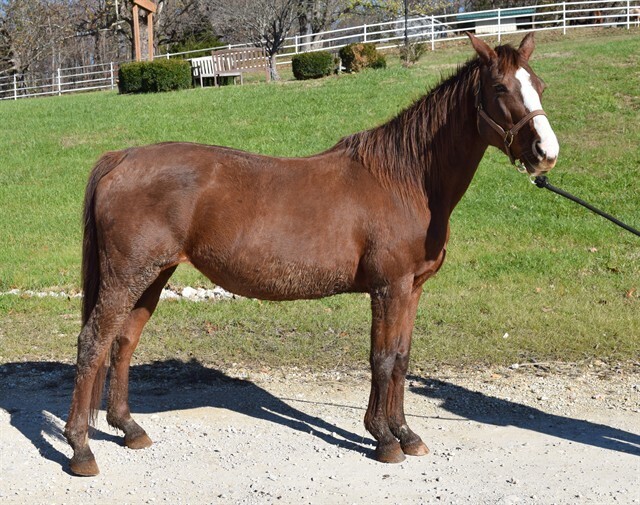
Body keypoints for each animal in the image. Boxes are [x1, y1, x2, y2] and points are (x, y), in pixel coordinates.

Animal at [65, 32, 559, 476]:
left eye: (539, 83)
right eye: (500, 88)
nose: (546, 153)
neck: (406, 180)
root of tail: (122, 157)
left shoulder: (412, 289)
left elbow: (400, 359)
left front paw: (406, 434)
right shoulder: (389, 288)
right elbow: (381, 359)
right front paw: (383, 439)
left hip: (153, 275)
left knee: (123, 343)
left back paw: (129, 429)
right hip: (126, 275)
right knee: (93, 344)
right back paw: (81, 450)